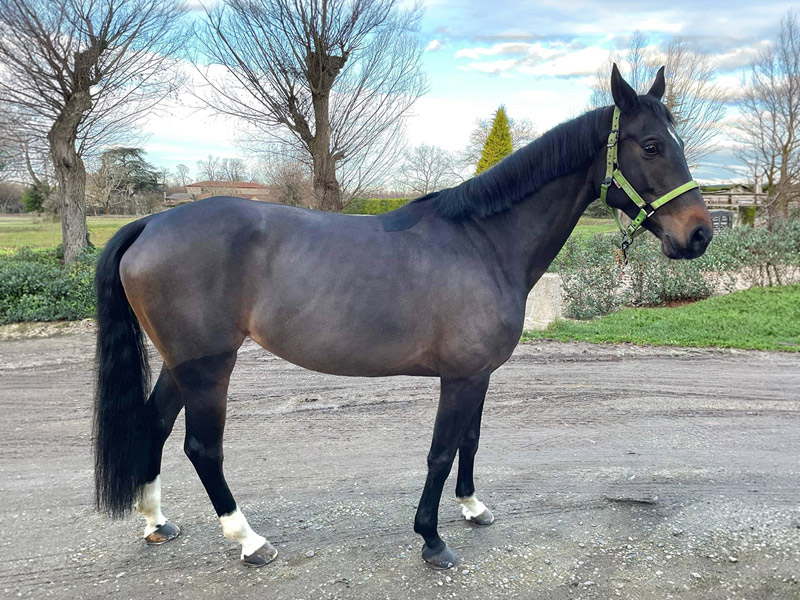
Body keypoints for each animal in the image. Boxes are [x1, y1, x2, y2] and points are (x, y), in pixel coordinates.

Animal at [93, 65, 712, 570]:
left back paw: (157, 522)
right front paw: (432, 540)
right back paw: (249, 540)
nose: (700, 235)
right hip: (209, 365)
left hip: (181, 362)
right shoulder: (459, 377)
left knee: (155, 424)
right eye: (651, 146)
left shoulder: (479, 374)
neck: (483, 242)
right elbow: (441, 451)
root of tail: (150, 223)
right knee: (202, 447)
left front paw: (472, 507)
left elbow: (470, 440)